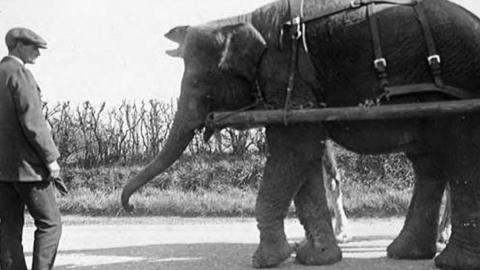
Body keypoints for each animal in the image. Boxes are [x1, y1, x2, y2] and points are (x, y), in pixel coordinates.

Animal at [123, 0, 480, 268]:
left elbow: (295, 151)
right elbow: (305, 156)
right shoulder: (295, 96)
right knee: (428, 162)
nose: (130, 208)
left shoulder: (285, 75)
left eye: (198, 83)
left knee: (460, 156)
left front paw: (268, 260)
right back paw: (407, 253)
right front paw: (314, 257)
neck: (241, 20)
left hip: (457, 84)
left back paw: (450, 261)